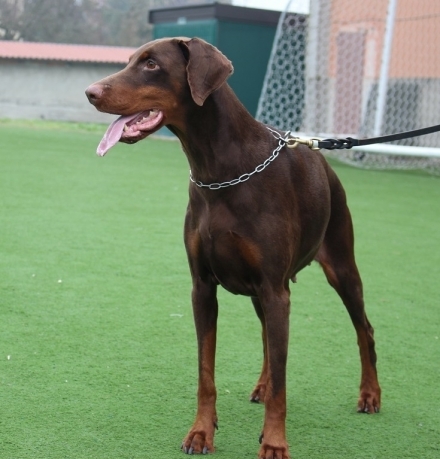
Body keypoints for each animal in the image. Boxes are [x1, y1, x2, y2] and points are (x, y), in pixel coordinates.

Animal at [85, 36, 378, 459]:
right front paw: (201, 432)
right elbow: (206, 372)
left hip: (339, 266)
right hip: (262, 292)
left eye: (152, 64)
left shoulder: (274, 289)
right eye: (130, 61)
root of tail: (326, 165)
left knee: (363, 329)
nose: (90, 92)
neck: (219, 171)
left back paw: (370, 394)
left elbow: (284, 384)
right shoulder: (203, 288)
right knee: (268, 338)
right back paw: (262, 384)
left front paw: (274, 442)